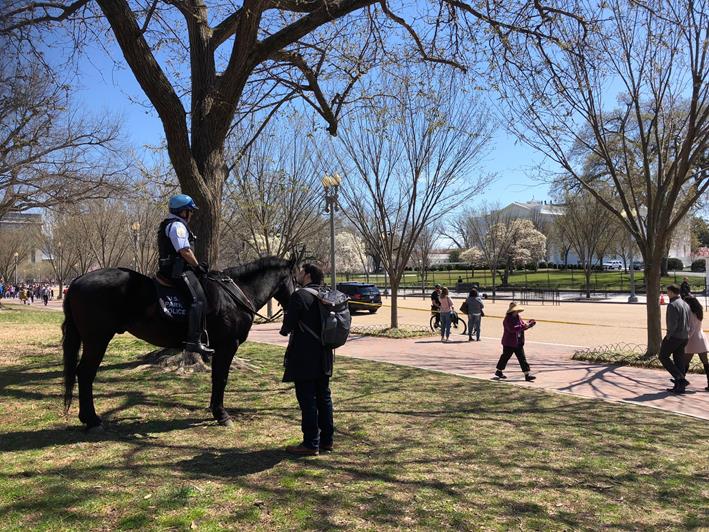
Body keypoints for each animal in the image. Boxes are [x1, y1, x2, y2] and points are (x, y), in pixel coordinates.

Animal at [60, 256, 294, 430]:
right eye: (295, 278)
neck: (236, 294)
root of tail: (77, 281)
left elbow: (216, 378)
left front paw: (215, 410)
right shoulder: (228, 345)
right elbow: (221, 378)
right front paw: (221, 414)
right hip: (97, 340)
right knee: (86, 373)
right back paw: (92, 419)